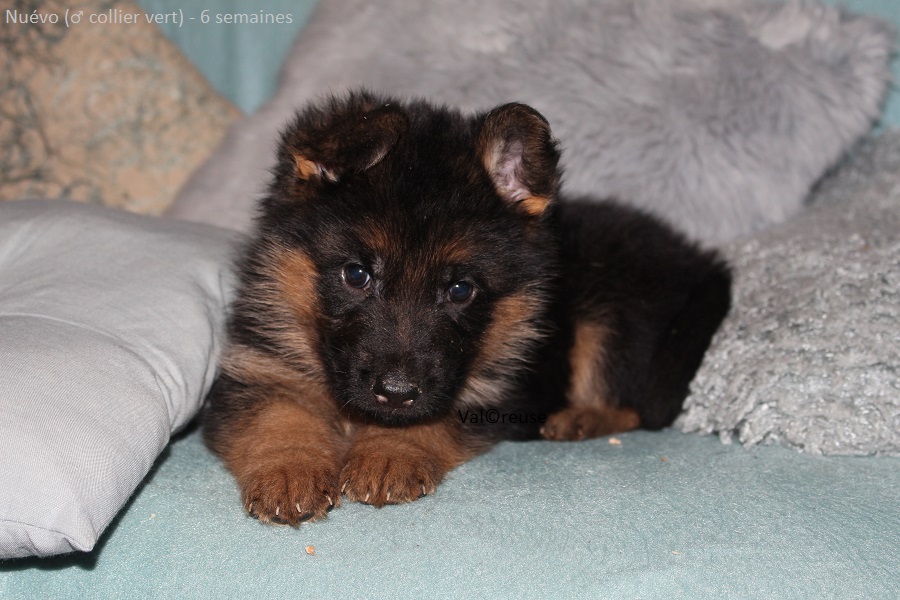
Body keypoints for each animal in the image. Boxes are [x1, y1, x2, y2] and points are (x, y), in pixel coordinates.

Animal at [203, 90, 731, 525]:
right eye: (356, 274)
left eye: (460, 290)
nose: (396, 393)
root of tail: (702, 263)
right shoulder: (259, 369)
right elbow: (279, 417)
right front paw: (289, 472)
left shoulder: (490, 390)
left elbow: (431, 419)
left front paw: (388, 454)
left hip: (613, 318)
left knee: (638, 403)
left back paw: (581, 419)